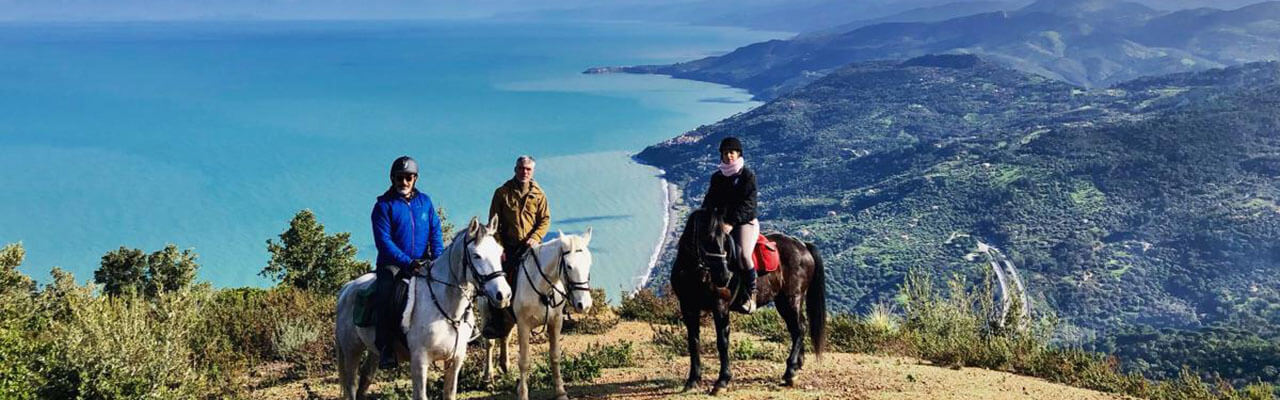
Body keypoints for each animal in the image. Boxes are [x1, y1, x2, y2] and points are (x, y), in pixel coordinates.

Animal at [337, 216, 512, 397]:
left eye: (499, 252)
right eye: (477, 255)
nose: (504, 295)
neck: (448, 310)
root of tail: (347, 288)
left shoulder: (455, 360)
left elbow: (450, 393)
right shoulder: (419, 362)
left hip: (373, 352)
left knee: (365, 379)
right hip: (351, 350)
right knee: (351, 385)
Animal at [512, 228, 596, 400]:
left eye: (589, 264)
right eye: (569, 266)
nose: (584, 305)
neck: (543, 288)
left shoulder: (556, 322)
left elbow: (555, 355)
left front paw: (561, 392)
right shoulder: (523, 325)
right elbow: (524, 362)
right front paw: (522, 394)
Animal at [670, 207, 829, 394]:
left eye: (725, 238)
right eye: (707, 238)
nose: (724, 276)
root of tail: (803, 246)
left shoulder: (720, 306)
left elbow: (722, 342)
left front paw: (722, 381)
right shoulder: (688, 307)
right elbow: (693, 342)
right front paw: (692, 380)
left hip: (792, 299)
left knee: (799, 329)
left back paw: (789, 372)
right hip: (784, 302)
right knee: (796, 328)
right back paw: (796, 366)